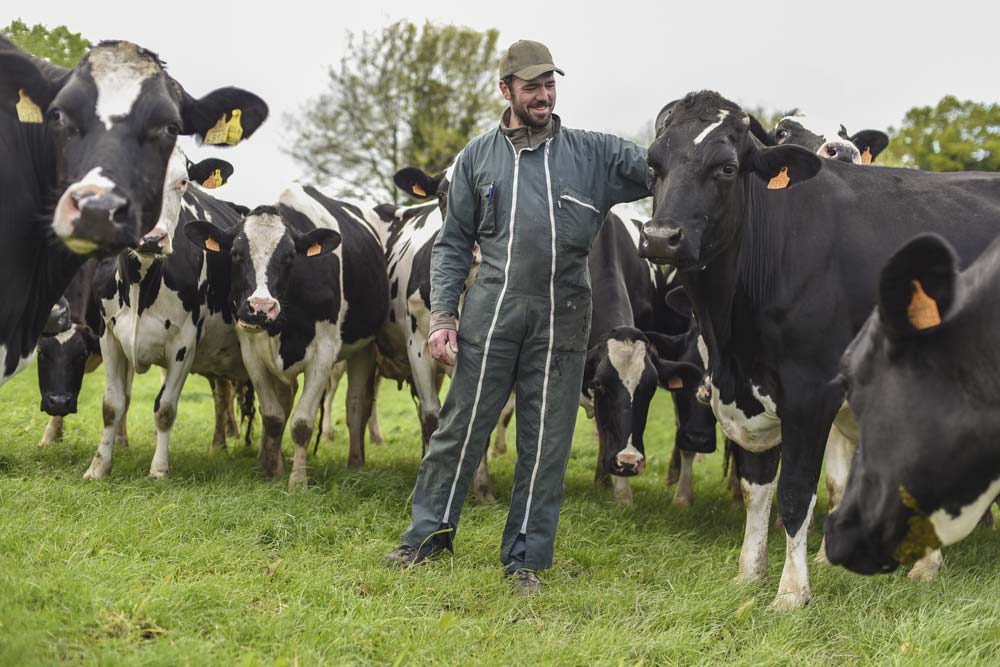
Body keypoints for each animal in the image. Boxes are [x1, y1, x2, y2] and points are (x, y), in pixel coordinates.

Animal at [84, 149, 254, 480]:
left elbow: (164, 409)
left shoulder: (184, 344)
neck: (141, 282)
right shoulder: (108, 335)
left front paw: (159, 469)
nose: (152, 239)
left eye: (183, 181)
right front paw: (98, 466)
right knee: (223, 394)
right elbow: (112, 405)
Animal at [186, 185, 388, 488]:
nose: (261, 307)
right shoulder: (252, 352)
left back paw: (355, 463)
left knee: (355, 404)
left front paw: (298, 481)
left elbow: (302, 423)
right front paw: (272, 470)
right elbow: (273, 416)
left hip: (363, 347)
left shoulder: (324, 354)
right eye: (235, 254)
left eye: (290, 256)